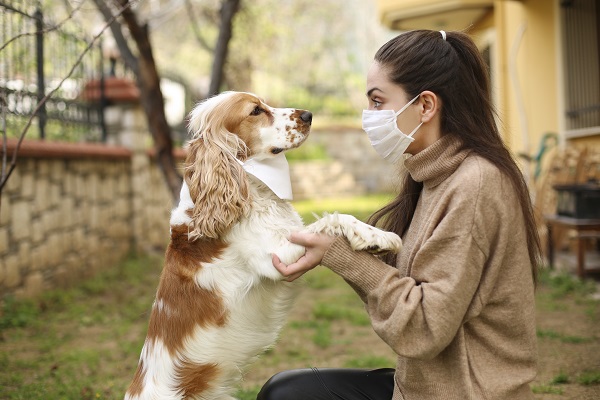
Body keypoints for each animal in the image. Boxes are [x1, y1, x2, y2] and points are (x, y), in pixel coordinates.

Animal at [124, 91, 400, 400]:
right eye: (255, 111)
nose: (308, 115)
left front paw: (375, 235)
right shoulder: (276, 257)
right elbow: (334, 219)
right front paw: (378, 238)